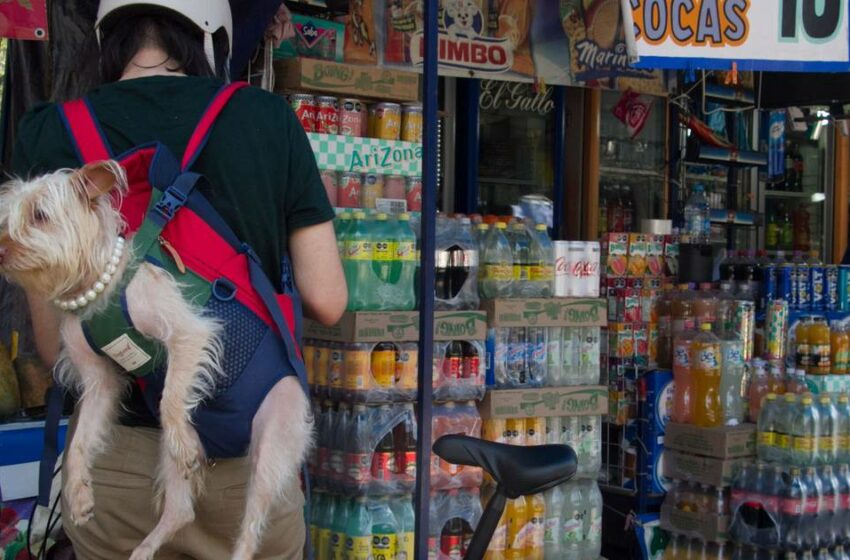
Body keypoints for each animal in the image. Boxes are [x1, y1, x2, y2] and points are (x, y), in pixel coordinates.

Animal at [0, 160, 312, 556]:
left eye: (39, 215)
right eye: (5, 219)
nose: (0, 251)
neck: (99, 286)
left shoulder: (189, 334)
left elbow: (171, 398)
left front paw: (179, 430)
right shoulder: (99, 384)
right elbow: (79, 442)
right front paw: (79, 494)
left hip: (271, 447)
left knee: (251, 528)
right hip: (171, 460)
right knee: (181, 511)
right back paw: (144, 548)